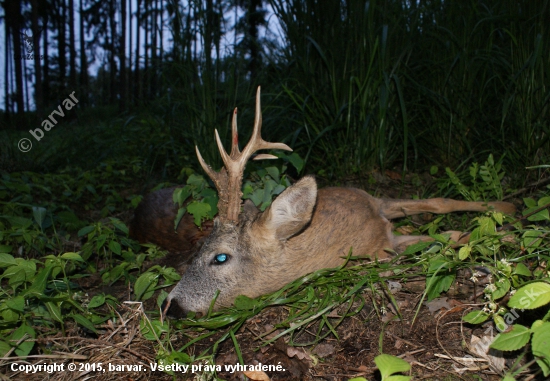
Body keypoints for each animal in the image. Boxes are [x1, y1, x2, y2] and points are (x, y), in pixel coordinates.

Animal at [138, 87, 516, 316]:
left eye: (220, 257)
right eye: (197, 250)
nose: (169, 306)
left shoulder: (376, 211)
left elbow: (443, 211)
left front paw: (506, 224)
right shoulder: (383, 245)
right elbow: (445, 234)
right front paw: (502, 232)